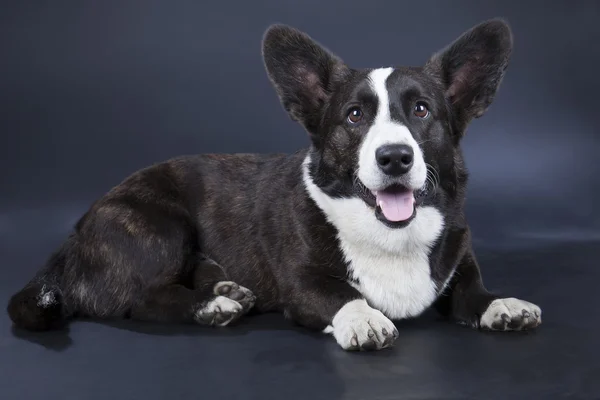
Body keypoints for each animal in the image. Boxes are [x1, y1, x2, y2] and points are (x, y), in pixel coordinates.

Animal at [5, 18, 540, 350]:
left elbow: (473, 291)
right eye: (354, 116)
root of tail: (73, 238)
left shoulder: (458, 267)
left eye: (422, 110)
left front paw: (502, 304)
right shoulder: (302, 284)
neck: (391, 236)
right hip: (161, 224)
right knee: (141, 299)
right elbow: (341, 295)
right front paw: (365, 318)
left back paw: (225, 288)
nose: (394, 157)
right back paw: (214, 305)